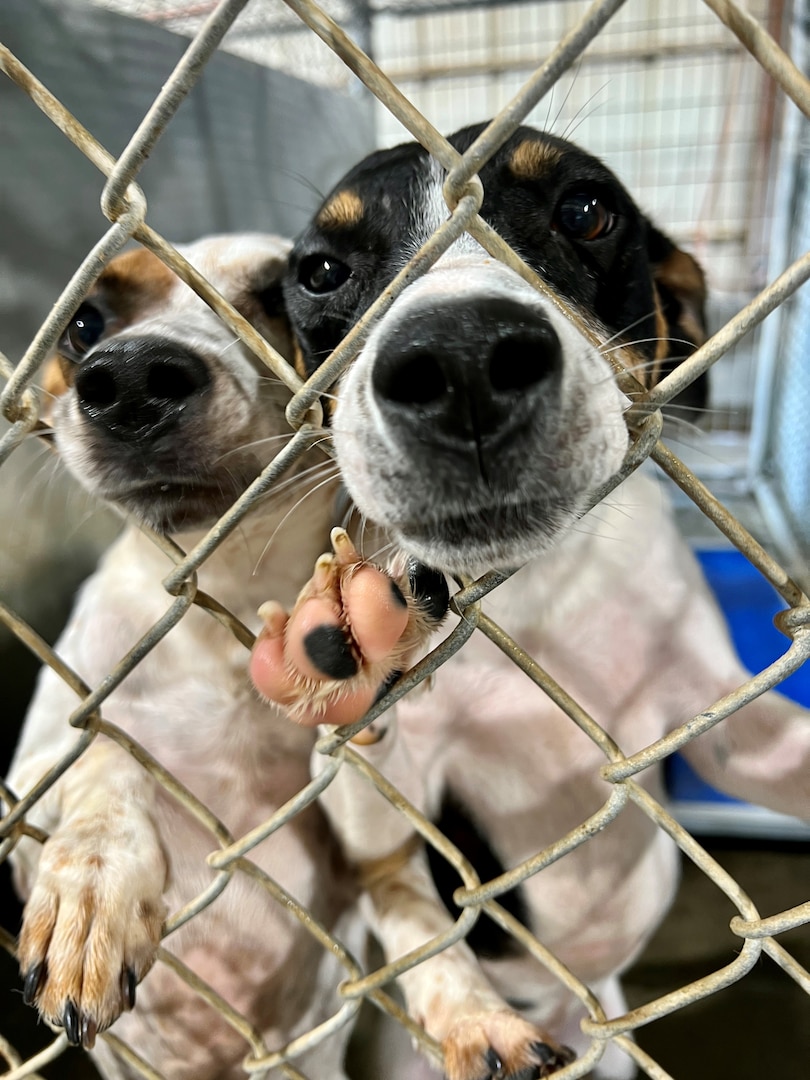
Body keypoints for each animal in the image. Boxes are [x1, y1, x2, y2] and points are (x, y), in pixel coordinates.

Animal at [4, 238, 360, 1080]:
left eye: (279, 292)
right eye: (85, 321)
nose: (132, 378)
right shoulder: (29, 786)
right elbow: (106, 755)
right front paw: (93, 890)